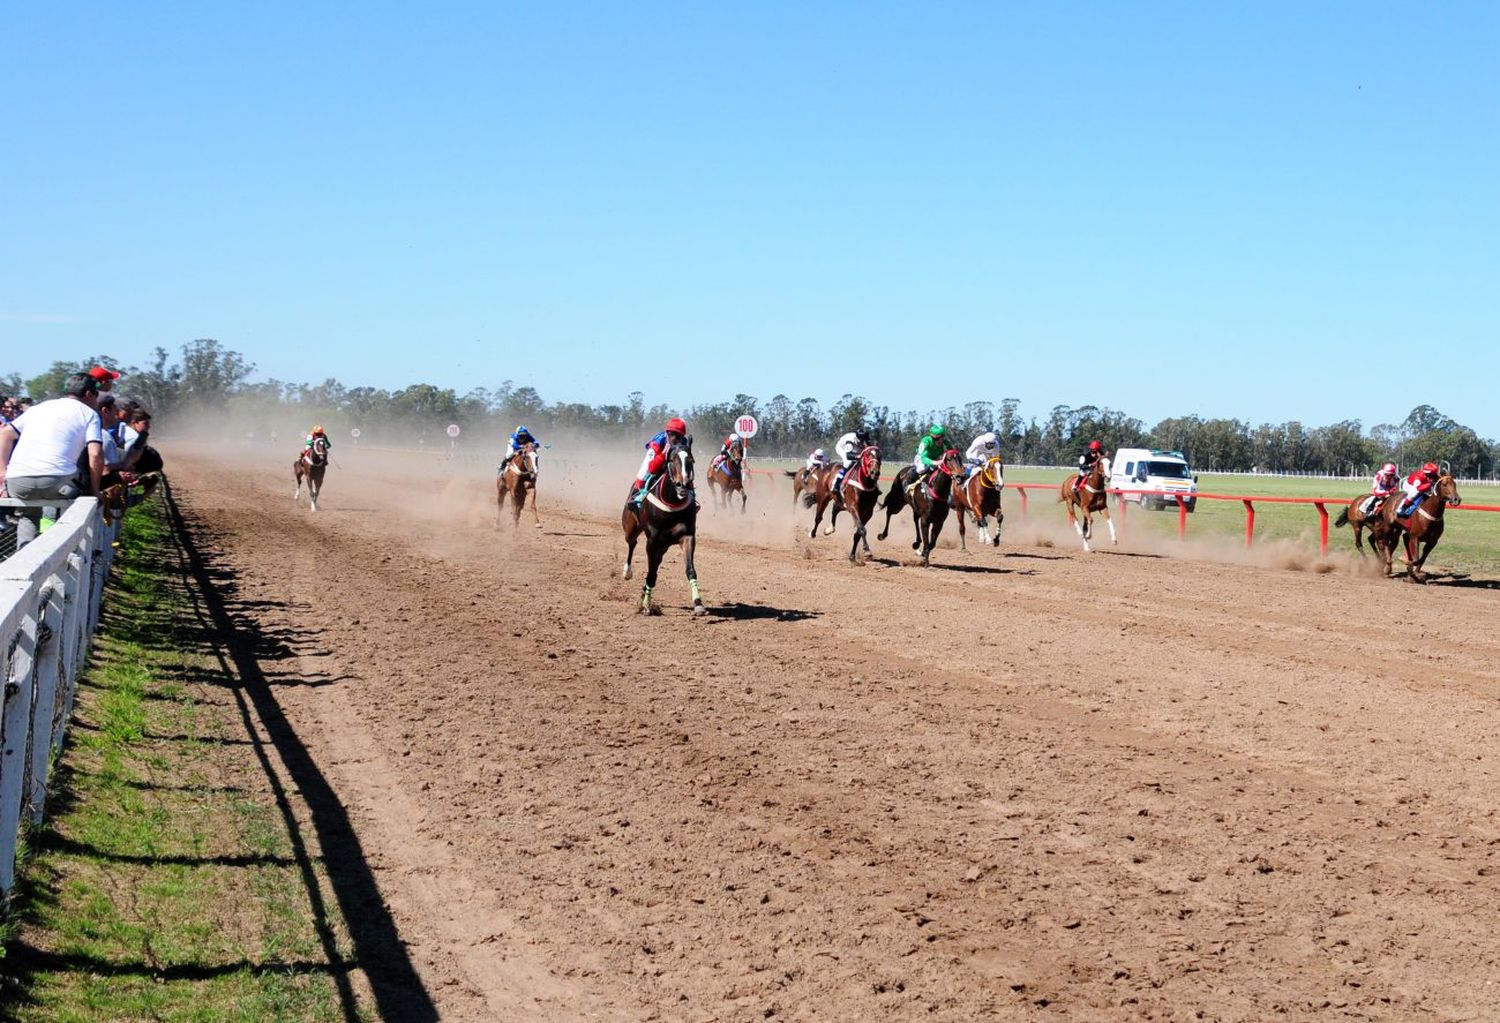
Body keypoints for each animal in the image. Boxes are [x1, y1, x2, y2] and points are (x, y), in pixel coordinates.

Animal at [618, 438, 705, 615]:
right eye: (671, 460)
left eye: (691, 461)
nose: (682, 485)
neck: (672, 501)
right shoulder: (652, 540)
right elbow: (651, 573)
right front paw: (646, 605)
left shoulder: (687, 536)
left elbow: (690, 570)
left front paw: (698, 603)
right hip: (631, 527)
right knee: (632, 543)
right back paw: (627, 572)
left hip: (664, 546)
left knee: (656, 563)